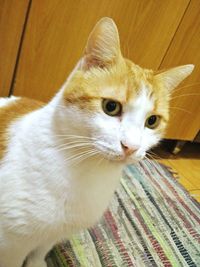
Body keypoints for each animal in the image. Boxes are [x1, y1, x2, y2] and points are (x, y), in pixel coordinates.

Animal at [0, 17, 194, 266]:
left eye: (152, 121)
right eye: (110, 107)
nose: (131, 146)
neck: (88, 172)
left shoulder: (50, 235)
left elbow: (39, 252)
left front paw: (38, 262)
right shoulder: (11, 245)